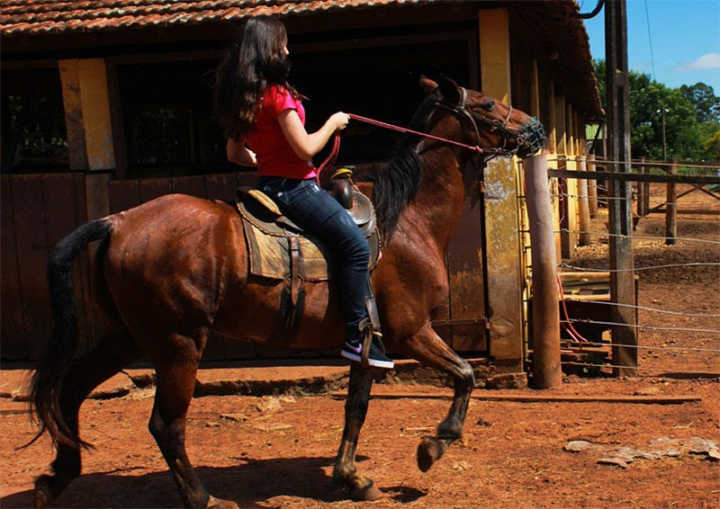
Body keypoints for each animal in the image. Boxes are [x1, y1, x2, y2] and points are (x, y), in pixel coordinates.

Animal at [29, 76, 544, 508]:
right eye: (488, 104)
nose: (535, 127)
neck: (406, 221)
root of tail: (117, 221)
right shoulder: (411, 332)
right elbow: (465, 376)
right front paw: (432, 446)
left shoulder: (367, 343)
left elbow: (356, 408)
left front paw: (351, 477)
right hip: (178, 343)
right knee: (165, 424)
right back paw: (202, 498)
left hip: (127, 336)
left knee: (70, 391)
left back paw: (56, 477)